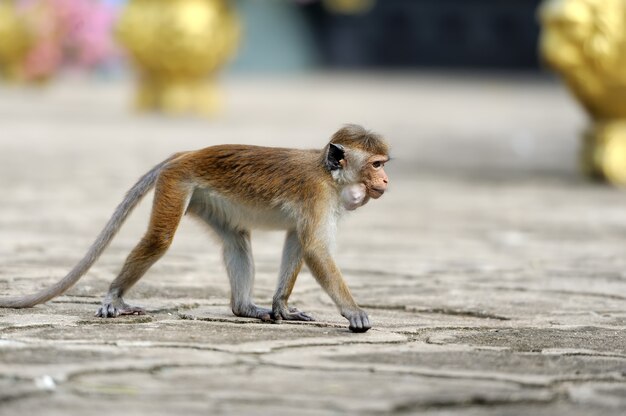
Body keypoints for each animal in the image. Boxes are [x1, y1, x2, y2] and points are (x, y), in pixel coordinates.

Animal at [0, 125, 388, 334]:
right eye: (375, 164)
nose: (386, 179)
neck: (329, 175)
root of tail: (188, 153)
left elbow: (297, 241)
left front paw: (282, 307)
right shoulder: (317, 195)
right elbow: (315, 250)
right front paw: (353, 311)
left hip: (205, 198)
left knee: (237, 241)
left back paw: (244, 308)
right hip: (177, 182)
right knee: (160, 239)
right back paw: (114, 297)